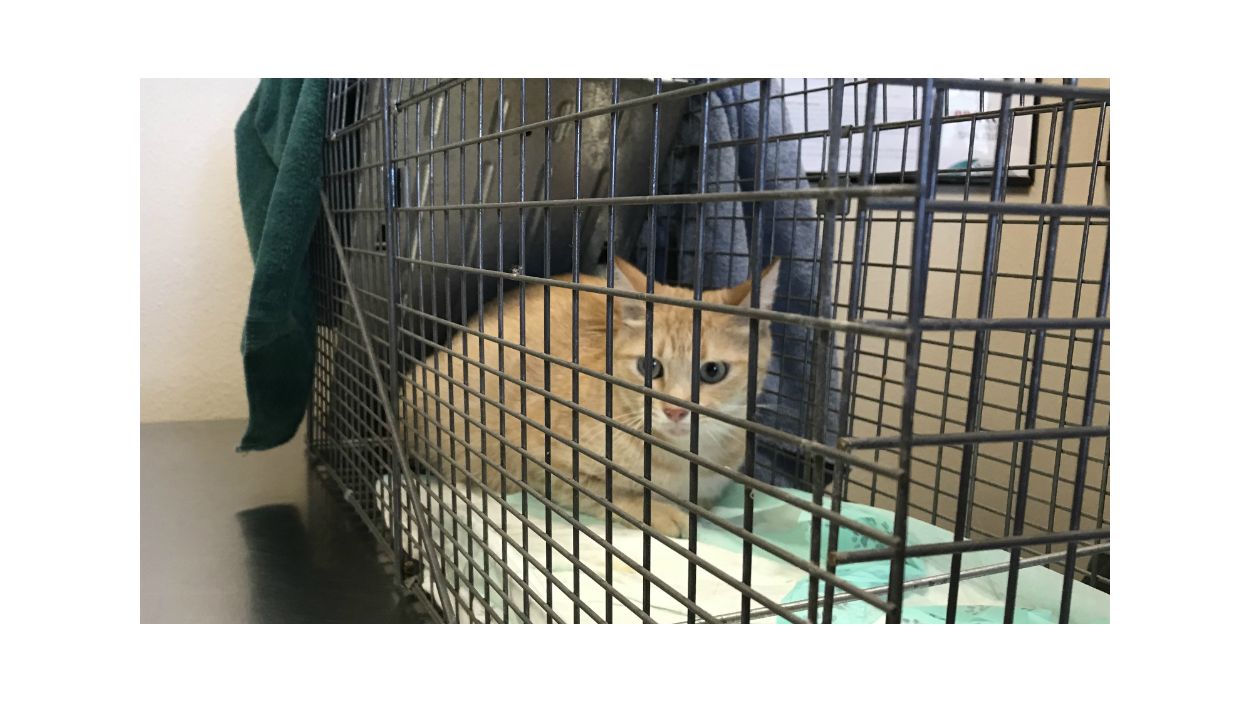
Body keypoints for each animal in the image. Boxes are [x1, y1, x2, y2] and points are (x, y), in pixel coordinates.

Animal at [403, 257, 779, 538]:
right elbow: (608, 491)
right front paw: (659, 511)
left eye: (712, 371)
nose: (674, 410)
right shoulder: (540, 459)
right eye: (649, 366)